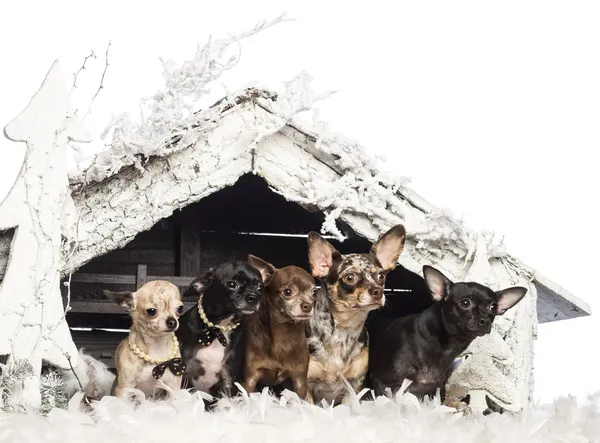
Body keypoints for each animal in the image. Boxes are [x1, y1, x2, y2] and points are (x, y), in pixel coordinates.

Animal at [175, 260, 266, 398]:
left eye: (260, 288)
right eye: (231, 284)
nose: (253, 296)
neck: (219, 330)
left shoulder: (228, 379)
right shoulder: (184, 374)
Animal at [243, 255, 318, 400]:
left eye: (314, 293)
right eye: (287, 292)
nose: (308, 305)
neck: (283, 334)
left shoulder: (300, 381)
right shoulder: (249, 380)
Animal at [366, 268, 524, 402]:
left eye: (493, 307)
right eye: (465, 303)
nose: (485, 320)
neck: (445, 347)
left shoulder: (436, 390)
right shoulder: (381, 383)